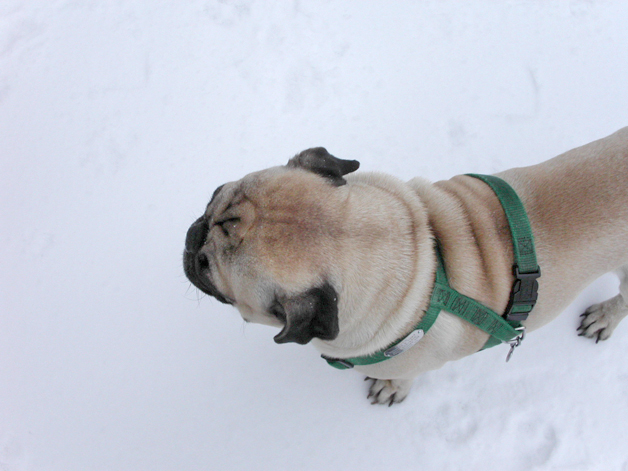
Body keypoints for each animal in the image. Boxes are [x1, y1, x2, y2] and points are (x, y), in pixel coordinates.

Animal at [183, 126, 628, 406]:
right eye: (213, 196)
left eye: (207, 268)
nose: (193, 236)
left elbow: (402, 377)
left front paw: (391, 388)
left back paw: (604, 317)